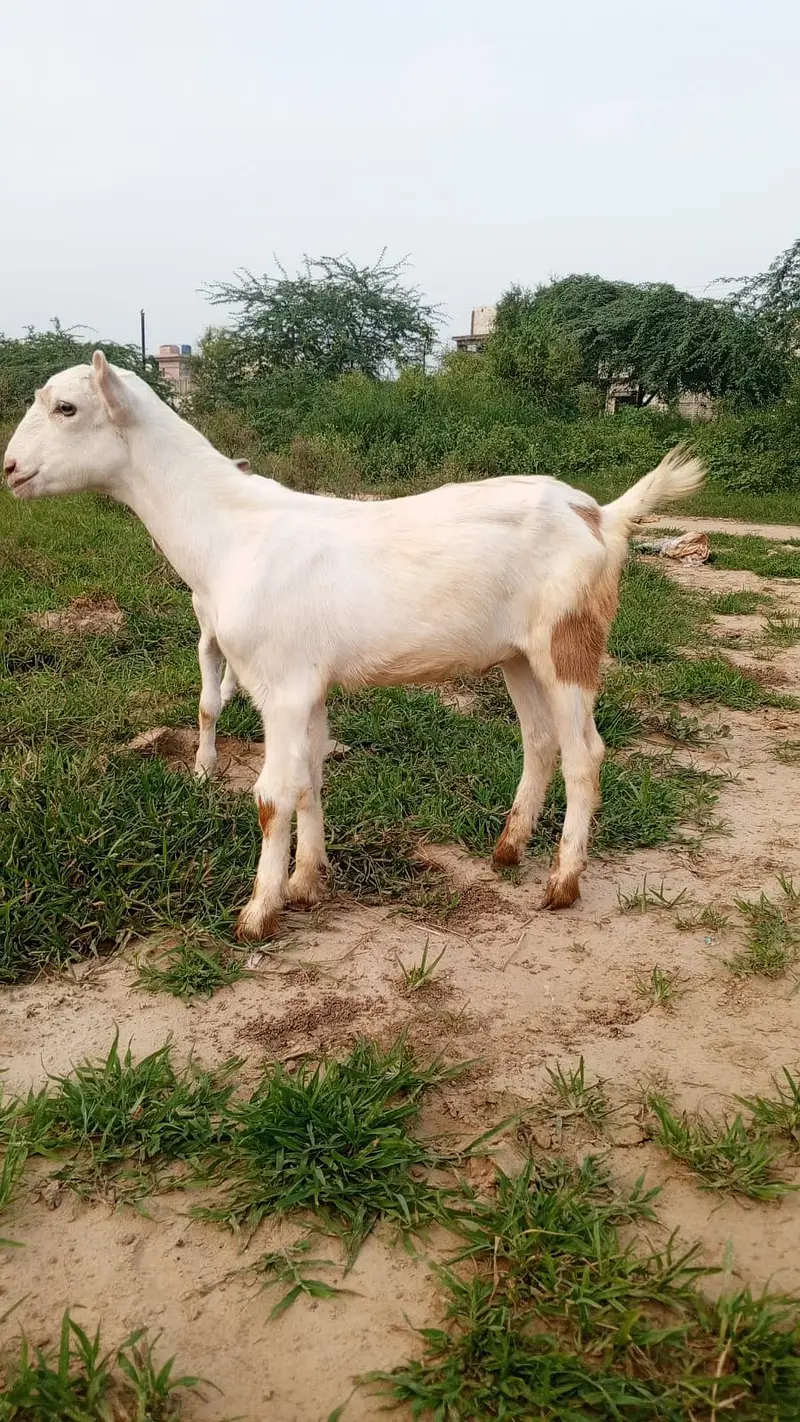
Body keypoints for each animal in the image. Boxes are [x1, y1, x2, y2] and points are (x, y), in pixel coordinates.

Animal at [4, 354, 705, 942]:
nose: (9, 469)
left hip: (568, 642)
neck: (232, 531)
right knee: (539, 740)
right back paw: (508, 849)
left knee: (585, 753)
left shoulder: (281, 686)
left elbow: (272, 793)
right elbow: (310, 778)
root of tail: (600, 516)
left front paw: (258, 913)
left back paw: (563, 882)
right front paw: (306, 882)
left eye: (67, 408)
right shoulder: (307, 686)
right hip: (518, 655)